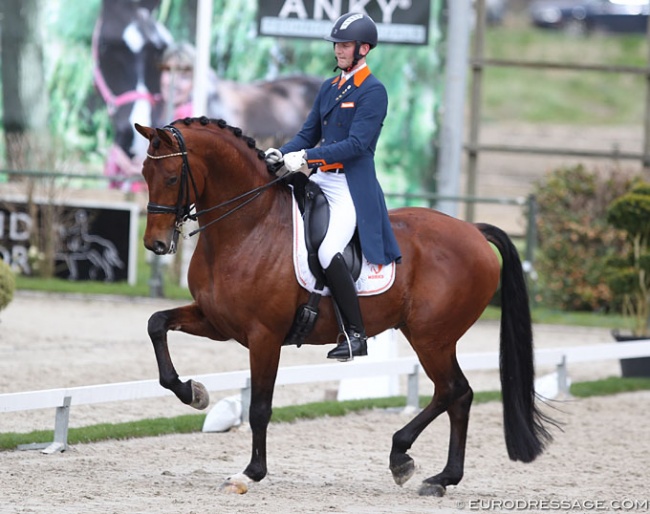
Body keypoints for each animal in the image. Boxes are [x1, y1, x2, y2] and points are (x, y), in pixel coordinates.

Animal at [135, 117, 552, 496]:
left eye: (171, 177)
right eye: (144, 172)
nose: (155, 244)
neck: (248, 227)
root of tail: (474, 231)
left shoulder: (264, 335)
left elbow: (260, 407)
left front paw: (250, 473)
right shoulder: (217, 322)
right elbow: (156, 324)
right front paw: (192, 392)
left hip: (431, 337)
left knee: (453, 390)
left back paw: (406, 459)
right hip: (432, 337)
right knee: (457, 395)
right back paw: (441, 477)